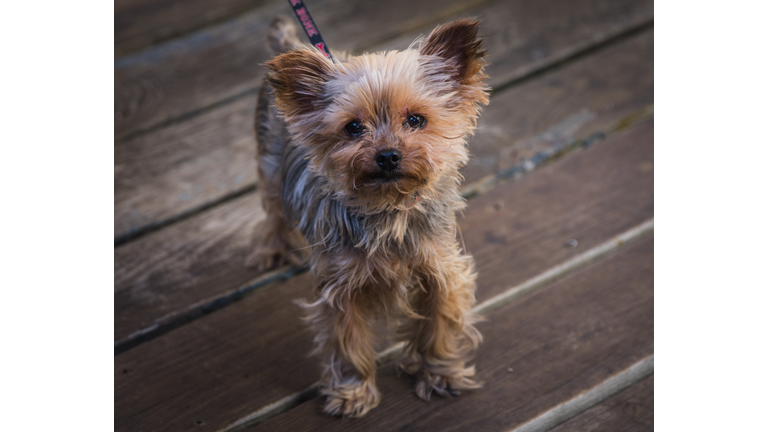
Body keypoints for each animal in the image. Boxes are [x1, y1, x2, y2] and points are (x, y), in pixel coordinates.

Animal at [249, 15, 488, 416]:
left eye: (416, 119)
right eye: (353, 127)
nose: (388, 155)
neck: (387, 207)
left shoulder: (440, 270)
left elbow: (439, 326)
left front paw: (440, 373)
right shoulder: (341, 288)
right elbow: (348, 342)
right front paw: (353, 390)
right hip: (269, 165)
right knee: (273, 212)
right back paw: (272, 249)